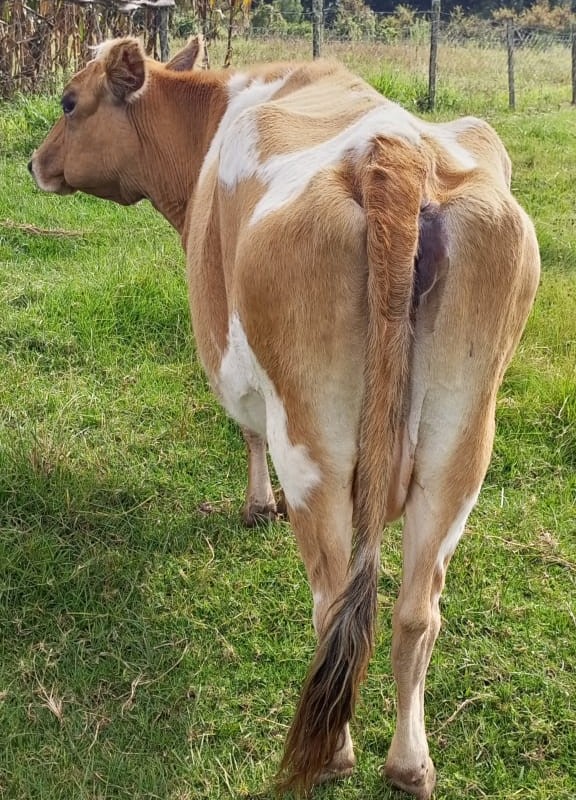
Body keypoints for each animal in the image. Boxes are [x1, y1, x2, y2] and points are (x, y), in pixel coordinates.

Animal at [29, 37, 540, 799]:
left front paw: (255, 506)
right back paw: (410, 762)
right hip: (462, 442)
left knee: (332, 602)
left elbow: (244, 430)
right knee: (416, 612)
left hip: (311, 441)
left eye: (68, 101)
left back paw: (334, 753)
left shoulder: (227, 353)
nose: (34, 162)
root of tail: (392, 154)